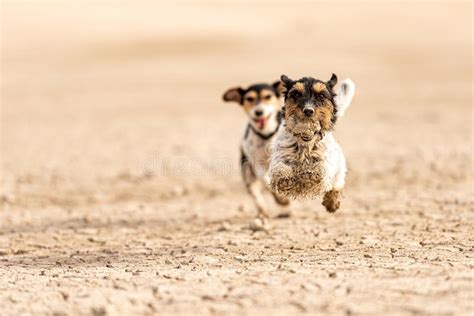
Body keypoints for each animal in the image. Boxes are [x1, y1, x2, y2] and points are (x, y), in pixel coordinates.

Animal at [222, 81, 288, 217]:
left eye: (268, 96)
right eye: (249, 99)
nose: (258, 112)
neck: (266, 135)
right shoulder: (258, 165)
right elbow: (267, 183)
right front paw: (281, 199)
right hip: (248, 173)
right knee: (256, 194)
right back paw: (263, 210)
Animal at [266, 73, 356, 212]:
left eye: (321, 95)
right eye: (297, 94)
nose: (308, 110)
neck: (305, 145)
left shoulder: (326, 164)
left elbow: (319, 172)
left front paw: (308, 175)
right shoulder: (280, 157)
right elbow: (280, 170)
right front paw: (286, 179)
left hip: (338, 170)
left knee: (336, 185)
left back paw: (332, 202)